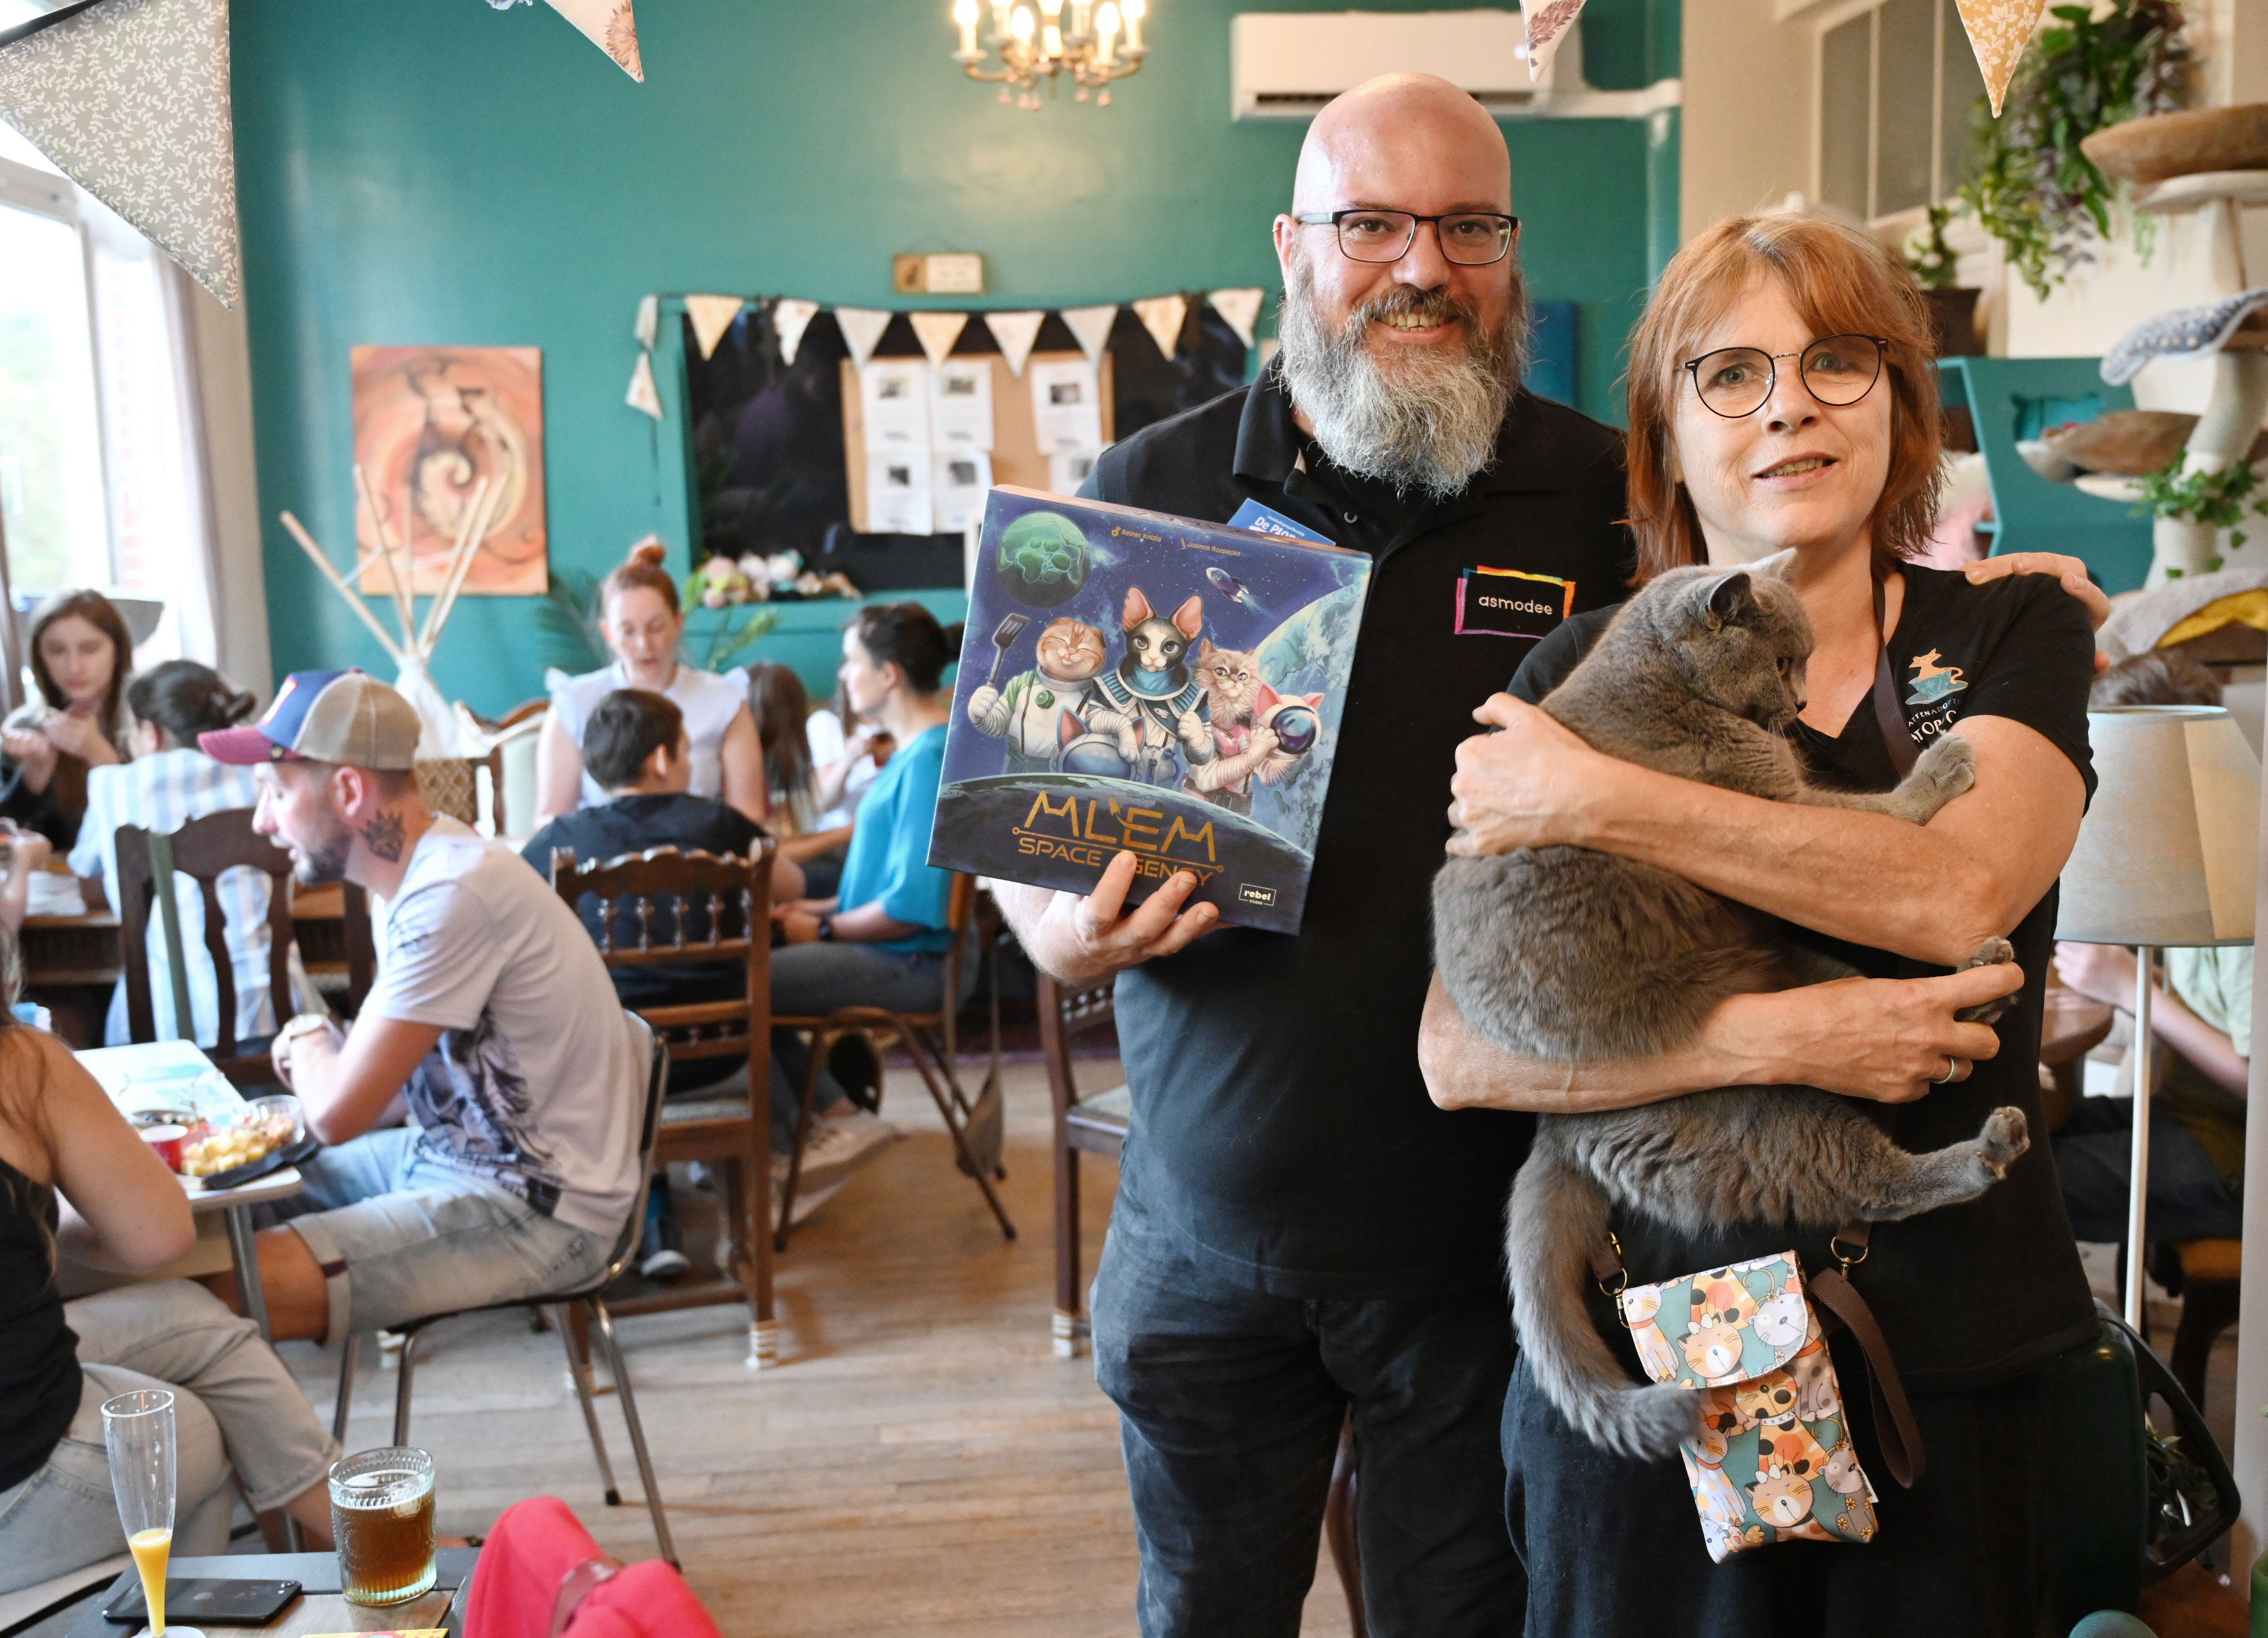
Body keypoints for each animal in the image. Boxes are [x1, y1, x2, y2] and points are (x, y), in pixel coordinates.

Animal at [1433, 558, 2023, 1451]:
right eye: (1782, 661)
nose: (1804, 702)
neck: (1663, 680)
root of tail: (1557, 1130)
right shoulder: (1767, 796)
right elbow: (1879, 811)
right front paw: (1944, 765)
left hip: (1802, 974)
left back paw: (1978, 987)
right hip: (1750, 1116)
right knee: (1870, 1179)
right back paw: (1987, 1145)